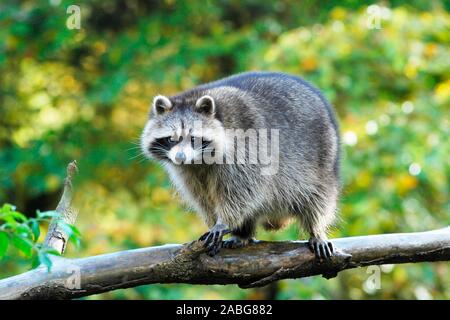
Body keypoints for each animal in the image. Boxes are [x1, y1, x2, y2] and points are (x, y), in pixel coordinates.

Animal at [141, 71, 342, 258]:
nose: (181, 157)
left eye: (193, 139)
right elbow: (203, 198)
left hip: (322, 160)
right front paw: (216, 221)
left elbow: (244, 190)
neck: (199, 160)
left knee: (318, 198)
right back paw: (242, 234)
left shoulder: (247, 148)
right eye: (171, 139)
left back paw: (316, 230)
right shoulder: (188, 172)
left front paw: (224, 221)